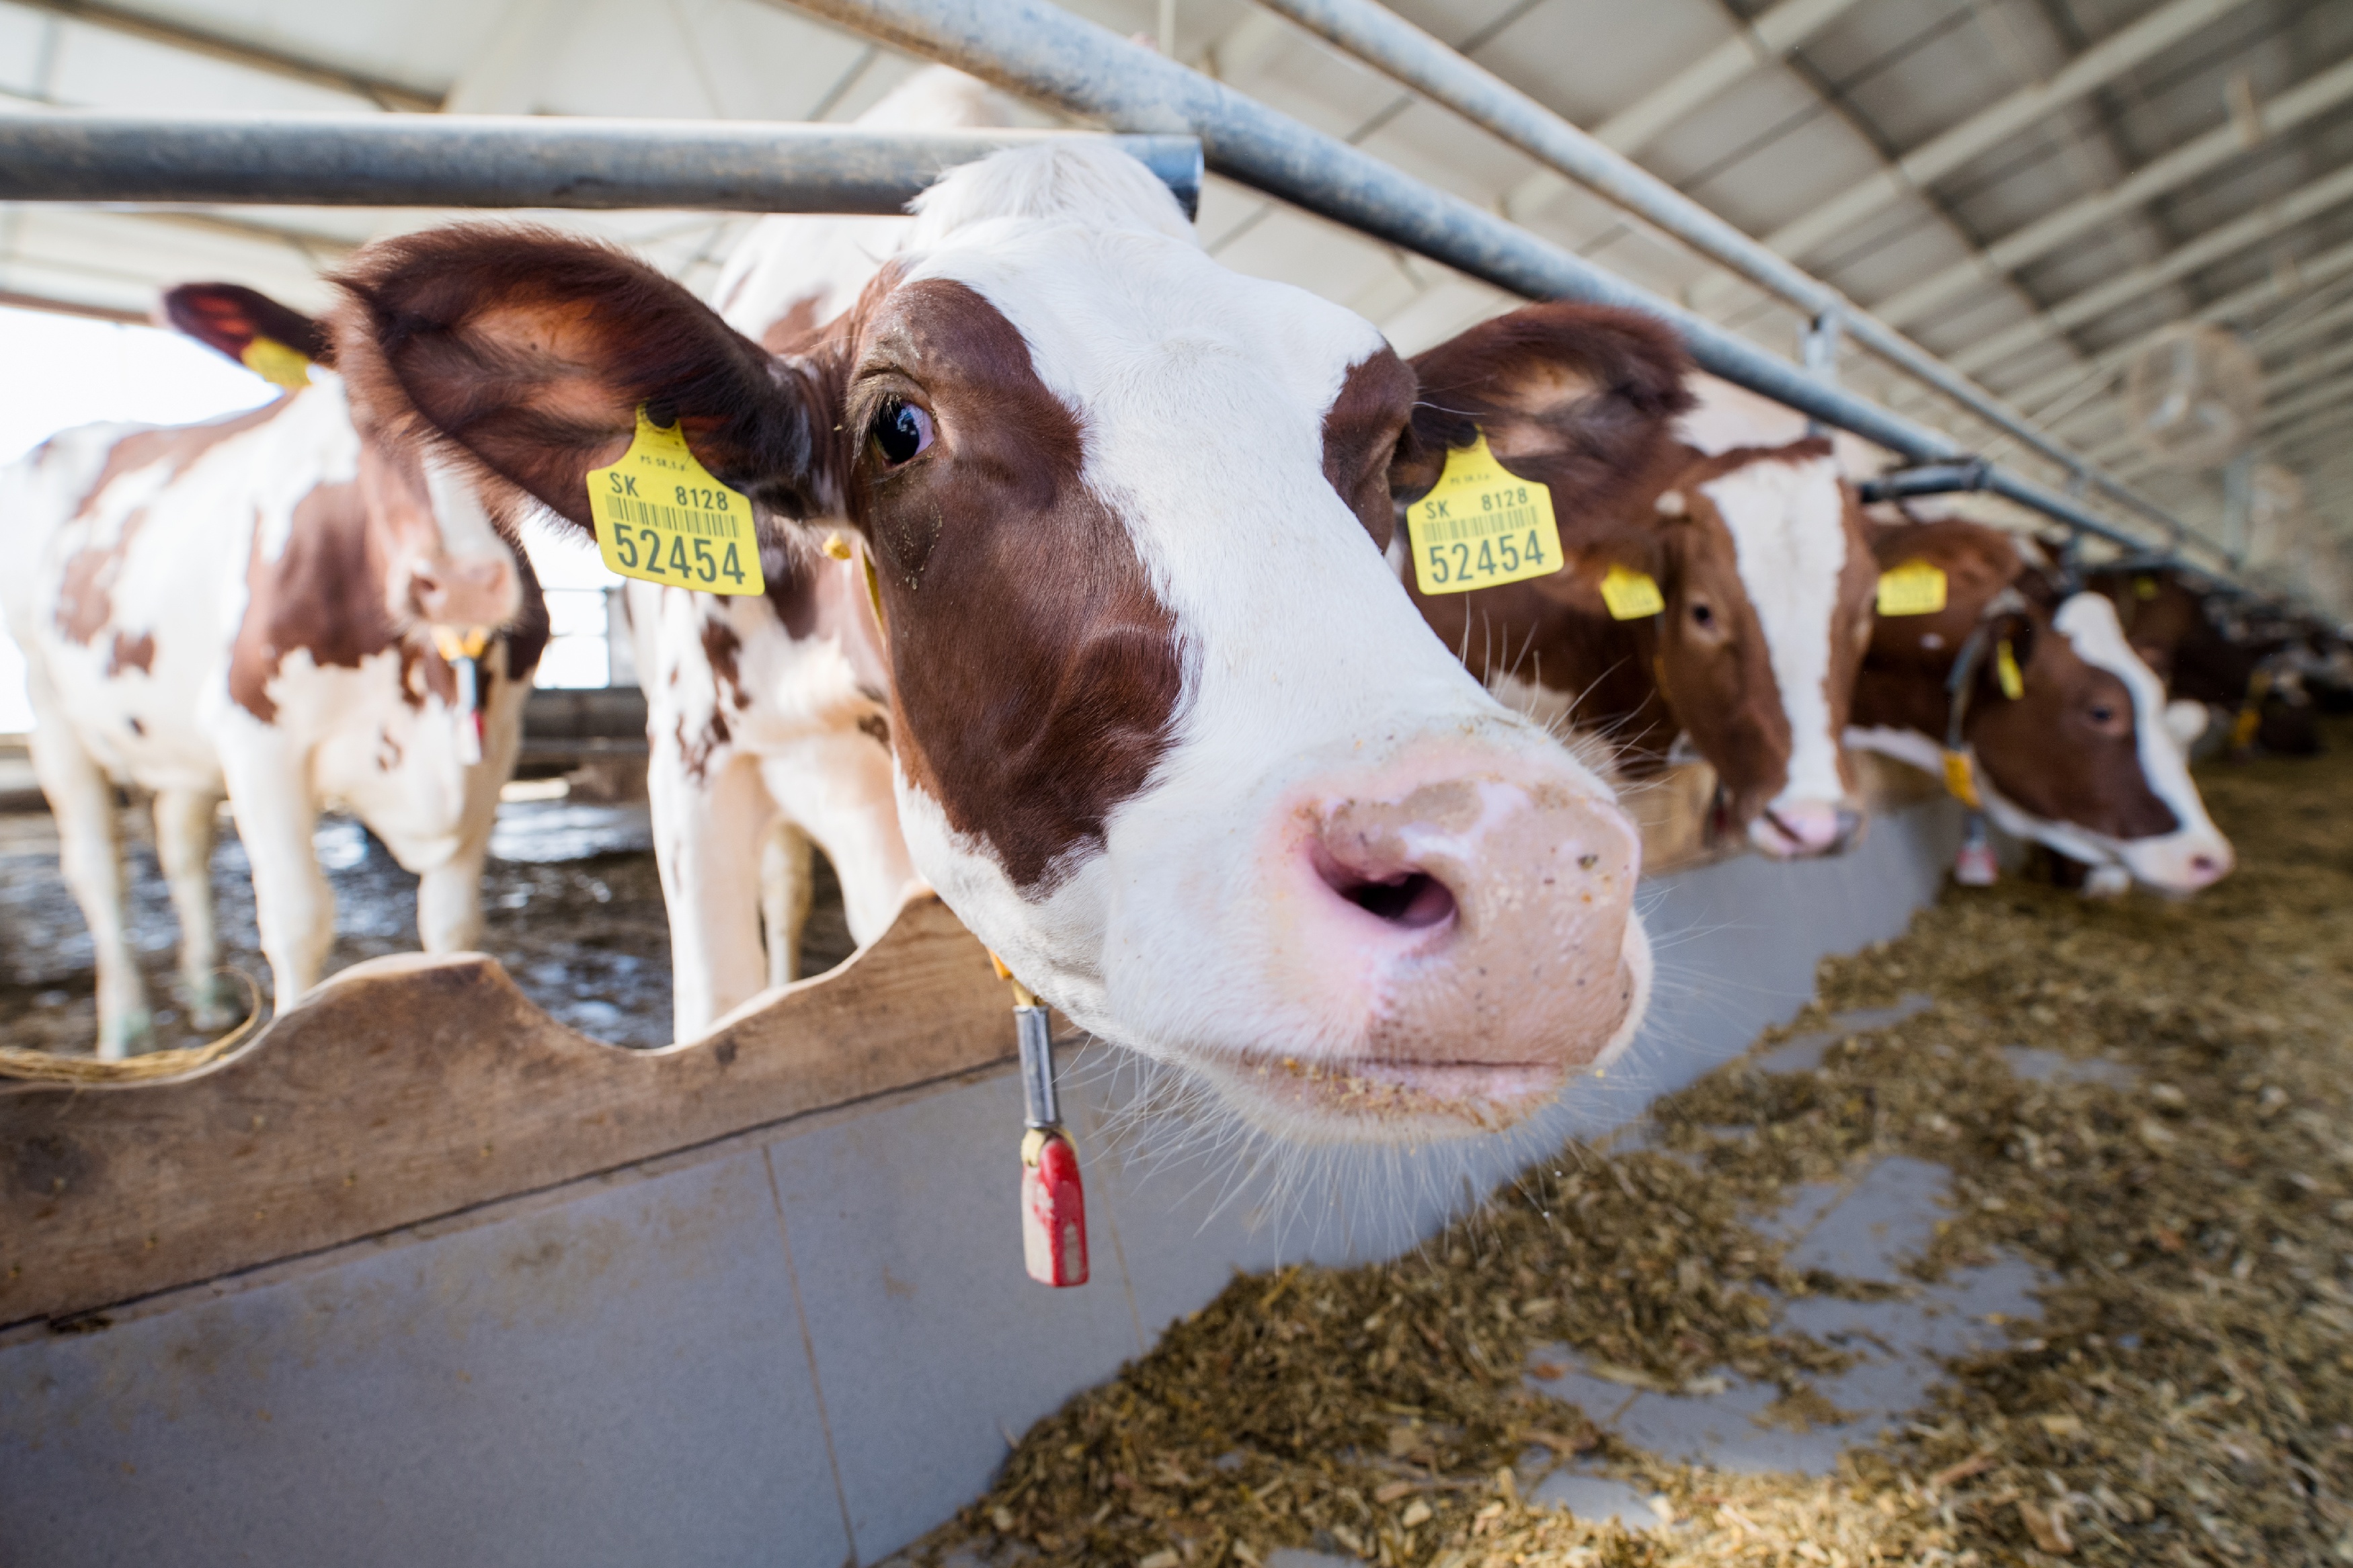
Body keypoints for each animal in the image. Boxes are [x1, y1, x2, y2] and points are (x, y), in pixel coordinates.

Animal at [0, 288, 546, 1062]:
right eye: (360, 401)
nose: (466, 585)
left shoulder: (493, 745)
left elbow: (453, 927)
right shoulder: (256, 737)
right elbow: (298, 919)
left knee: (182, 842)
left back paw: (207, 993)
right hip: (50, 709)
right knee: (99, 869)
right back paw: (127, 1030)